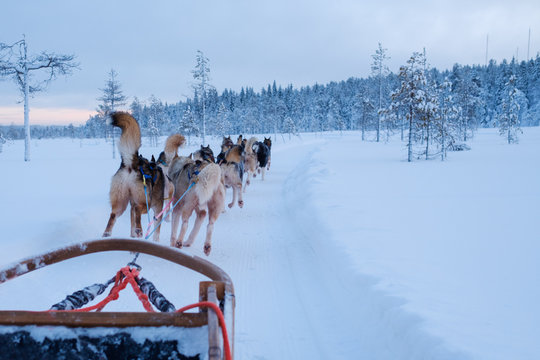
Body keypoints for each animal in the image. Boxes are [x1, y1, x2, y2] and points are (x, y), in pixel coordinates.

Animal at [102, 112, 168, 242]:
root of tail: (132, 163)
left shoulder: (131, 206)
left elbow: (132, 221)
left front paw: (133, 236)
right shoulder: (158, 211)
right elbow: (156, 232)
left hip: (121, 202)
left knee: (113, 215)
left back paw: (107, 234)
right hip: (145, 202)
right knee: (138, 208)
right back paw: (139, 230)